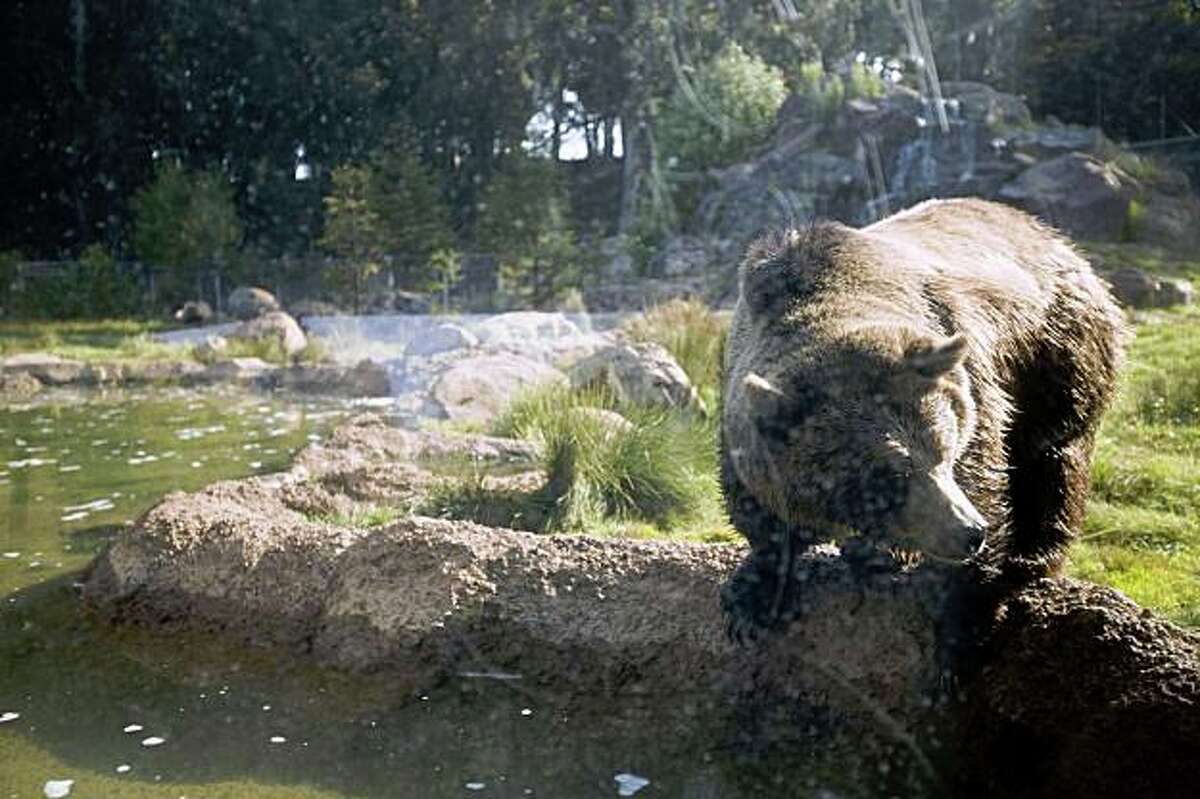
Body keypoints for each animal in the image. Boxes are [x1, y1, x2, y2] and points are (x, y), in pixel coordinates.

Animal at [720, 197, 1123, 633]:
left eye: (943, 453)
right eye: (888, 476)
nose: (969, 531)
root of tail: (1058, 242)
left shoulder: (974, 387)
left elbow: (987, 482)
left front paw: (964, 615)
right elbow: (761, 515)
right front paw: (755, 598)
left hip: (1059, 357)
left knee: (1052, 465)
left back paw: (1027, 560)